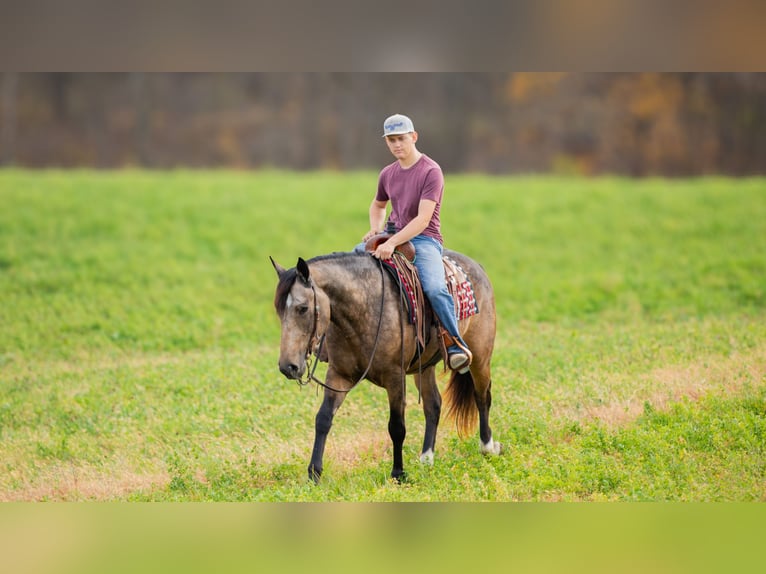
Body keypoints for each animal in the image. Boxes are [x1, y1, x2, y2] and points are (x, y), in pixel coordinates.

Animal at [272, 250, 504, 484]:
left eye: (303, 308)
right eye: (279, 310)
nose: (288, 367)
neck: (364, 309)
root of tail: (477, 267)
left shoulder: (395, 377)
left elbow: (397, 426)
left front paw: (398, 473)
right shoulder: (339, 375)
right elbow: (323, 419)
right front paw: (314, 474)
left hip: (480, 357)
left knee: (482, 397)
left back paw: (488, 448)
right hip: (424, 368)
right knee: (433, 405)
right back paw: (426, 459)